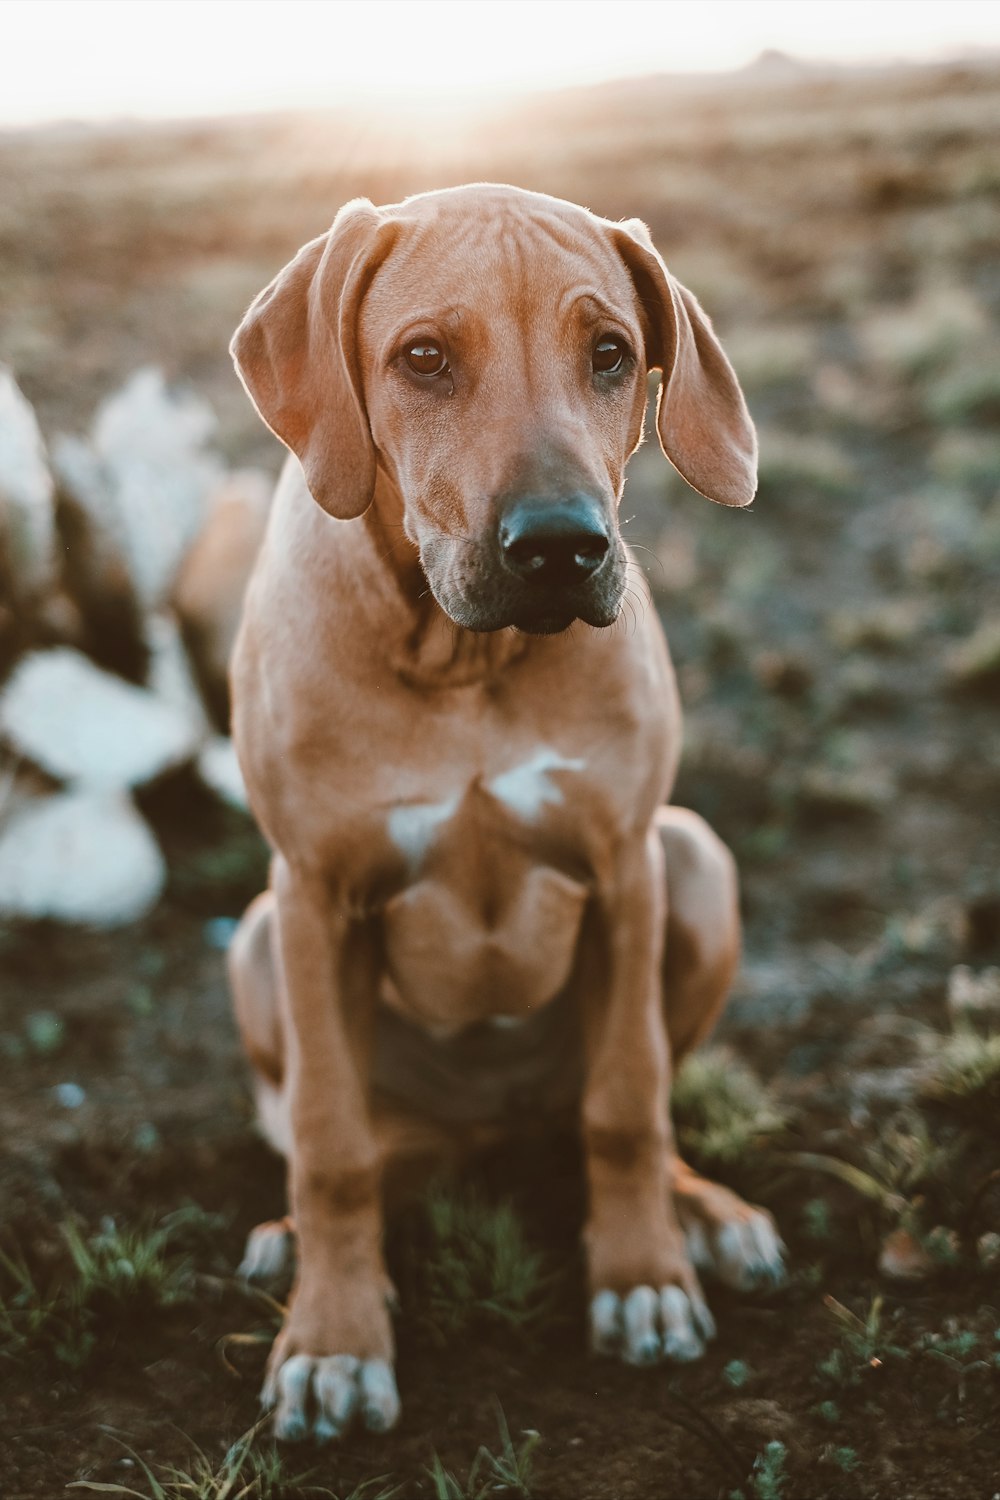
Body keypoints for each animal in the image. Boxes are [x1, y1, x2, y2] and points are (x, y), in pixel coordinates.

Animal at [229, 184, 791, 1440]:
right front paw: (333, 1340)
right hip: (255, 946)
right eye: (423, 358)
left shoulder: (627, 863)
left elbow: (629, 1100)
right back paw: (293, 1242)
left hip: (696, 864)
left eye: (612, 354)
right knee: (358, 1144)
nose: (560, 547)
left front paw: (639, 1277)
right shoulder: (312, 896)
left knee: (618, 1098)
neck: (461, 661)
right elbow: (329, 1145)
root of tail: (490, 1127)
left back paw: (699, 1213)